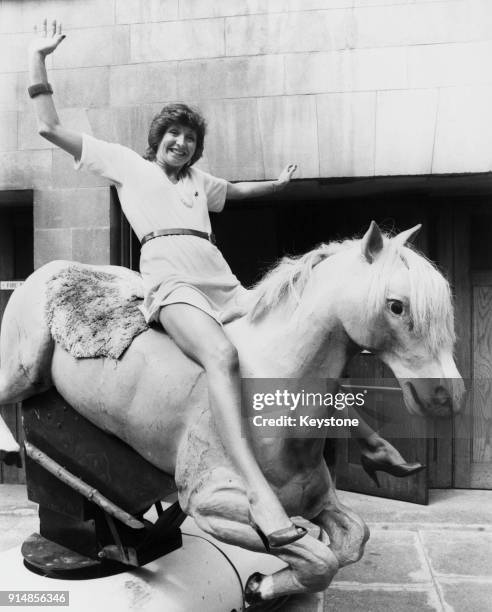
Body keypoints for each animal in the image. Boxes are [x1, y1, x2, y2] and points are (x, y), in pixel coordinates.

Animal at [0, 222, 462, 604]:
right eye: (396, 306)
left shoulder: (316, 497)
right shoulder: (211, 506)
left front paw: (260, 585)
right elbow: (320, 560)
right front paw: (261, 584)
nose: (448, 396)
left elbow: (351, 543)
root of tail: (53, 267)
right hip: (22, 369)